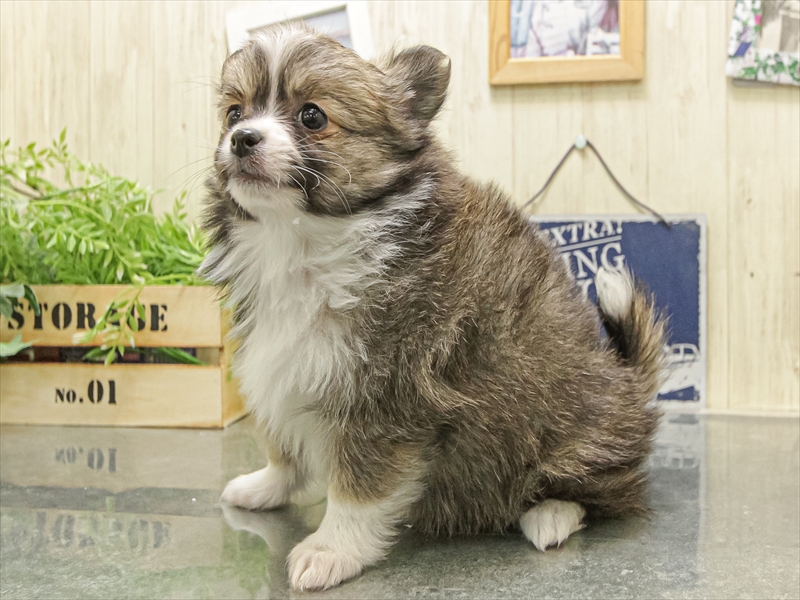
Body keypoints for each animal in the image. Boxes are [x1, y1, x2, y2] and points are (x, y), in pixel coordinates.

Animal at [200, 23, 666, 591]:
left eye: (312, 116)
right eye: (233, 113)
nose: (242, 139)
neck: (302, 243)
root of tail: (629, 382)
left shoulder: (387, 398)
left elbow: (358, 489)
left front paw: (332, 549)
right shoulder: (283, 366)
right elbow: (282, 445)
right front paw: (267, 485)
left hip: (573, 431)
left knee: (599, 490)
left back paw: (550, 513)